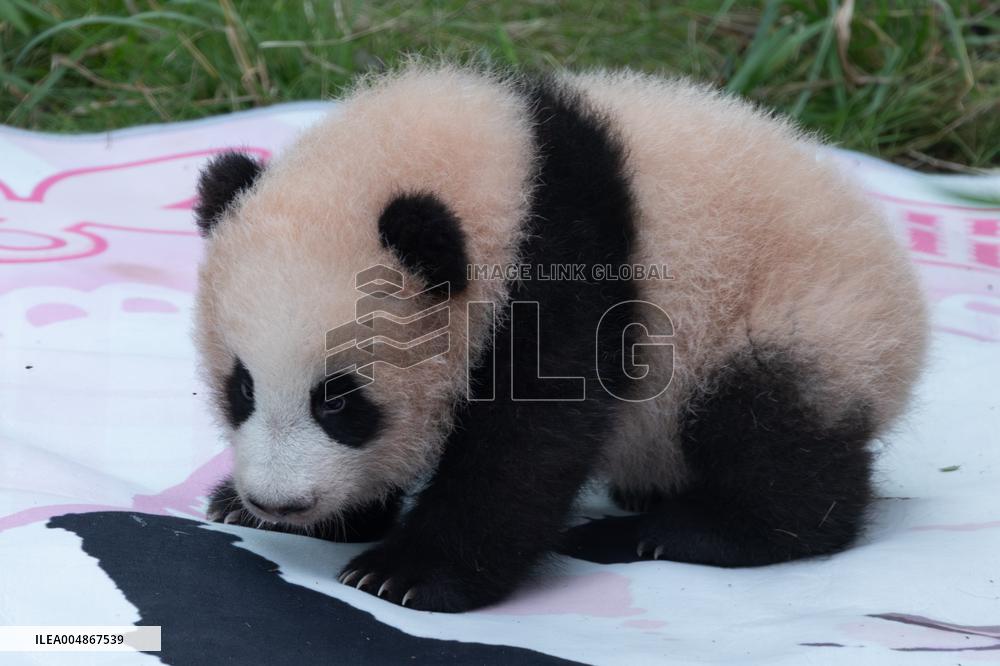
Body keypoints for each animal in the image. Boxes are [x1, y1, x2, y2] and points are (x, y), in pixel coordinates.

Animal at [194, 63, 928, 613]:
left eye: (341, 401)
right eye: (240, 389)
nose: (278, 501)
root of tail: (908, 318)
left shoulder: (567, 275)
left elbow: (531, 442)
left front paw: (406, 574)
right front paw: (271, 511)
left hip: (796, 322)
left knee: (769, 440)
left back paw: (673, 532)